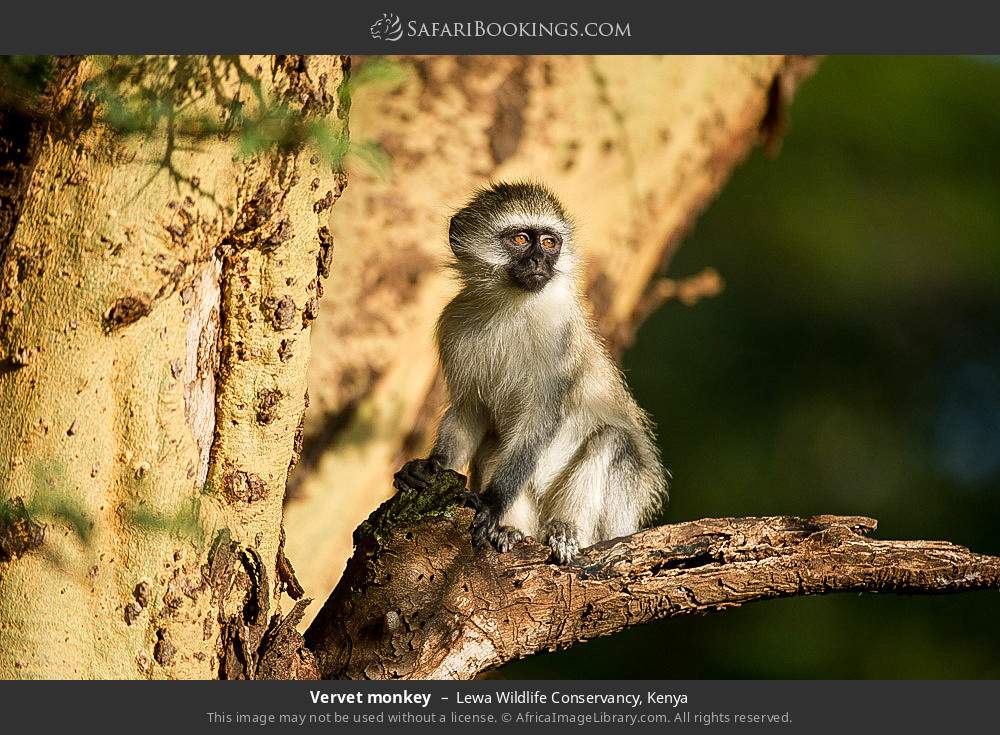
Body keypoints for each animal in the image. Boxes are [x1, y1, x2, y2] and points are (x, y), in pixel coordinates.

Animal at [395, 181, 667, 564]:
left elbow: (541, 419)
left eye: (550, 243)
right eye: (522, 239)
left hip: (610, 522)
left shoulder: (558, 334)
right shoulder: (453, 324)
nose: (540, 260)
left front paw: (492, 504)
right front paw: (431, 466)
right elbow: (470, 410)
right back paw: (510, 531)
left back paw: (565, 531)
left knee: (615, 441)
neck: (508, 306)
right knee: (495, 444)